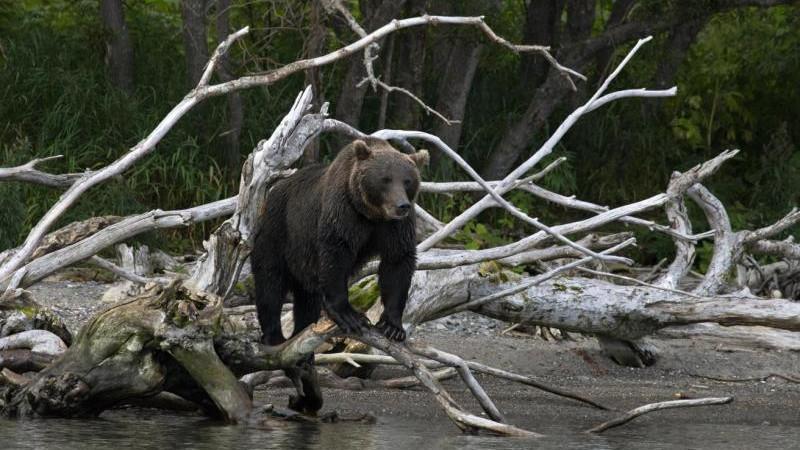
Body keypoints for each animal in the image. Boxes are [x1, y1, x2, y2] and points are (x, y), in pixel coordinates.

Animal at [250, 137, 428, 413]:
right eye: (385, 179)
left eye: (407, 180)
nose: (402, 205)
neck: (371, 213)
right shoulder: (343, 214)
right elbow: (336, 255)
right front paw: (350, 315)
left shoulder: (395, 228)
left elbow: (398, 263)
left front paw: (392, 325)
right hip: (278, 232)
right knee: (270, 283)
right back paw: (275, 338)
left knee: (306, 302)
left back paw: (304, 351)